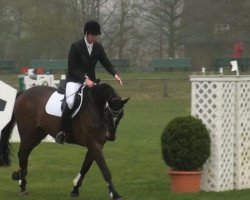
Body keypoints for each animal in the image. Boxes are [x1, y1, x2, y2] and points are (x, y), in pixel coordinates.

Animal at [0, 83, 129, 199]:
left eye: (121, 115)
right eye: (107, 113)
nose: (111, 136)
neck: (95, 107)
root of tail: (24, 93)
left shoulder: (97, 145)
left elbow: (85, 167)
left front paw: (75, 189)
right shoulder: (94, 144)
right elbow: (104, 169)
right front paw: (114, 194)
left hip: (38, 135)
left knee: (25, 154)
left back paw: (21, 181)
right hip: (28, 134)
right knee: (22, 154)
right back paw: (22, 185)